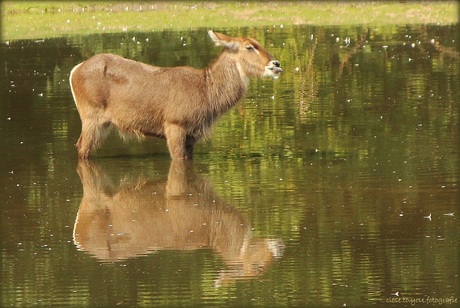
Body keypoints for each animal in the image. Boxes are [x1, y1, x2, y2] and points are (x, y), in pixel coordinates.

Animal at [69, 29, 282, 159]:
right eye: (249, 46)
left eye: (259, 42)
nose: (276, 64)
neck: (207, 93)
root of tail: (74, 71)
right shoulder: (174, 124)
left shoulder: (192, 135)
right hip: (91, 117)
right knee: (81, 147)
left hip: (103, 123)